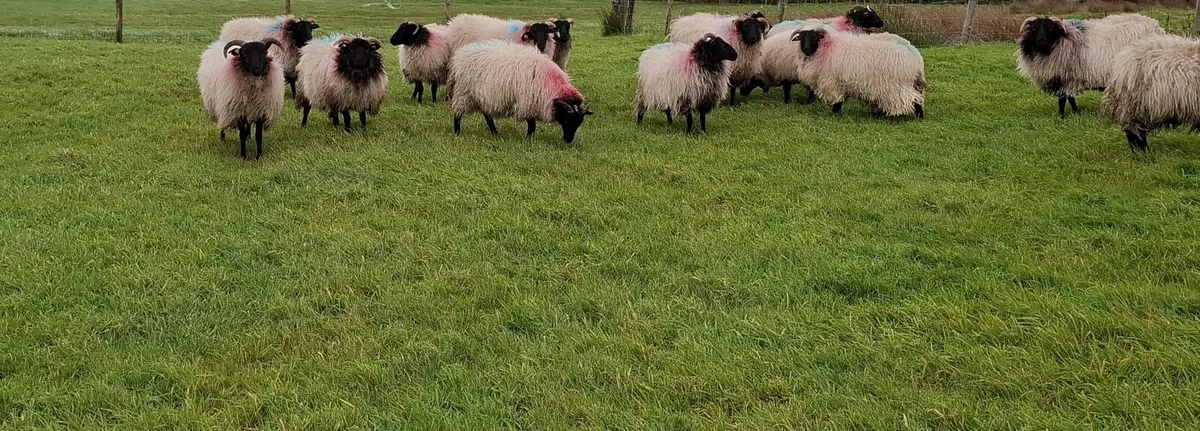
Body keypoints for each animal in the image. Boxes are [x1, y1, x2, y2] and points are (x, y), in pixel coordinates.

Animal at [448, 41, 593, 144]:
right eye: (567, 121)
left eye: (579, 123)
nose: (568, 141)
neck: (550, 84)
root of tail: (460, 55)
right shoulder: (527, 102)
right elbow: (532, 123)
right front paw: (529, 139)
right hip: (464, 93)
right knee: (458, 114)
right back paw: (457, 132)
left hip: (483, 96)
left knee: (487, 115)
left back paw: (495, 133)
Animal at [793, 27, 925, 118]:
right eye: (801, 38)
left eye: (814, 37)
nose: (806, 49)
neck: (825, 50)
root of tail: (914, 56)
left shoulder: (833, 83)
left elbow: (837, 102)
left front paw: (835, 115)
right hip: (912, 84)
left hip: (897, 87)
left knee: (913, 100)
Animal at [1016, 14, 1163, 118]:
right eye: (1034, 28)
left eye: (1050, 28)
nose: (1041, 40)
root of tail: (1157, 28)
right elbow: (1070, 98)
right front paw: (1075, 112)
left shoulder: (1067, 78)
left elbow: (1063, 99)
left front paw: (1062, 116)